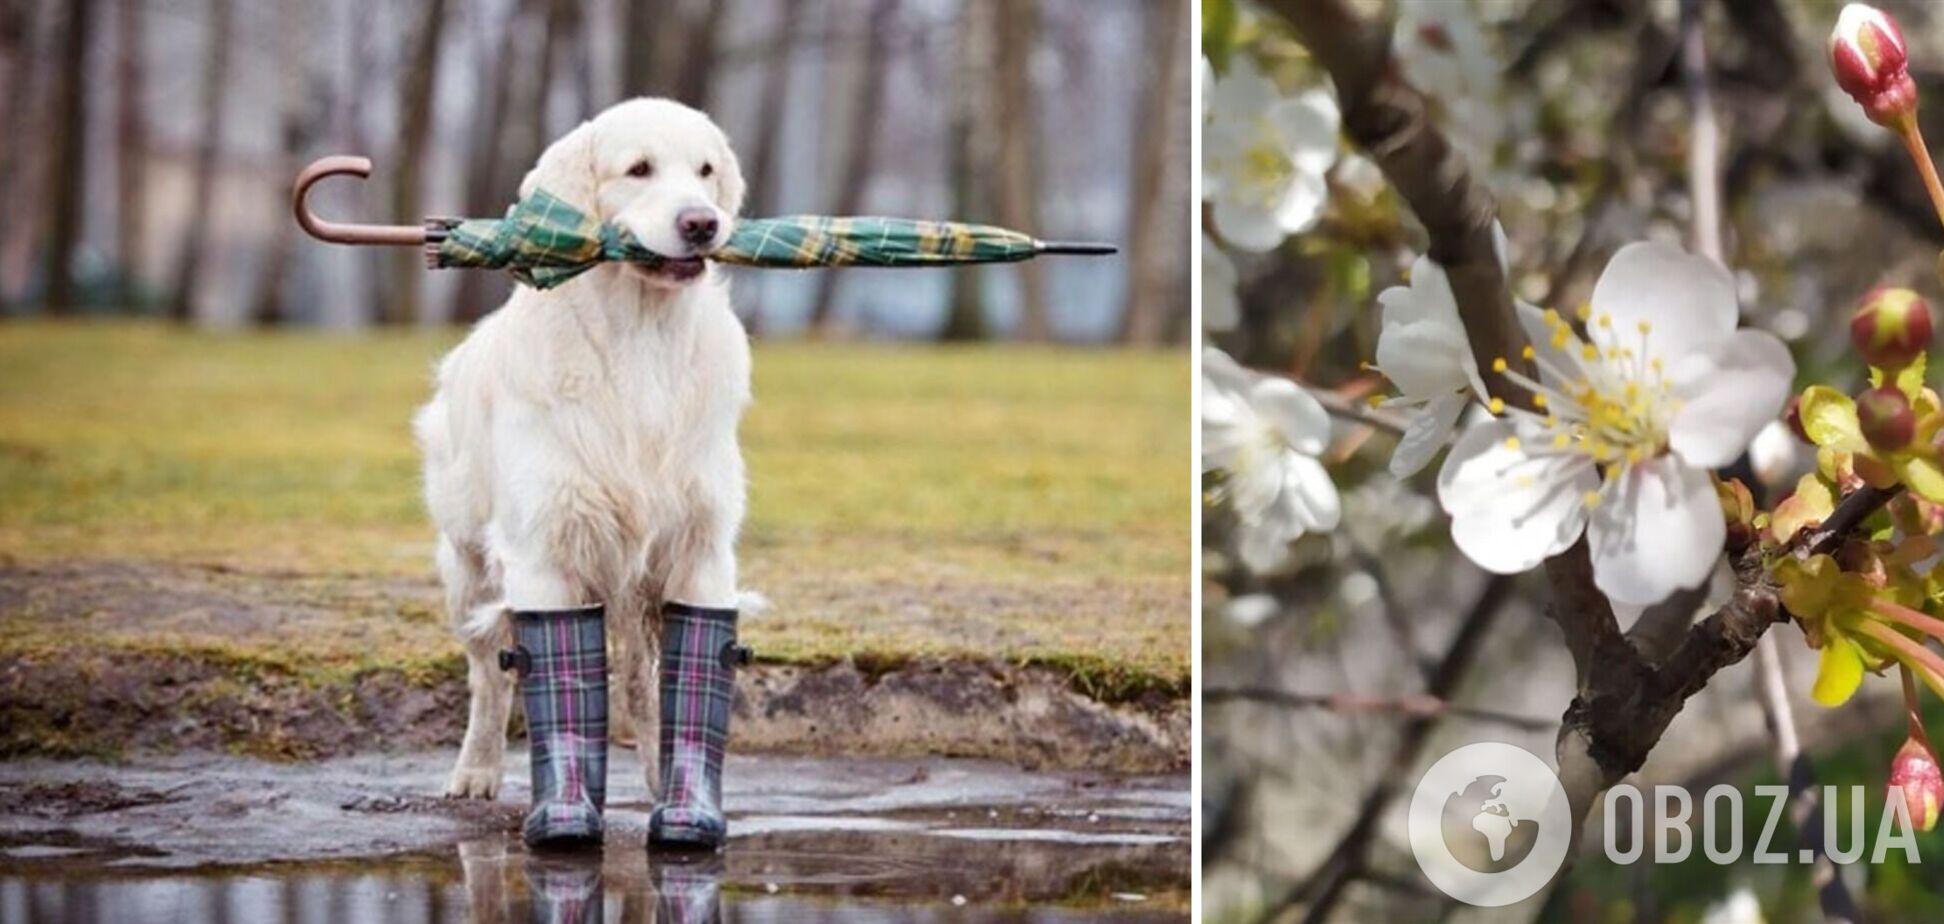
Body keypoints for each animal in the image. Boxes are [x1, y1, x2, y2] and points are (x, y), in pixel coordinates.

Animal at [417, 97, 750, 797]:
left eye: (705, 170)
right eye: (639, 168)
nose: (702, 223)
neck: (641, 338)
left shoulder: (700, 548)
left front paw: (682, 795)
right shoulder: (544, 550)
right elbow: (542, 677)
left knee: (640, 684)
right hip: (467, 568)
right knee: (489, 676)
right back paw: (476, 771)